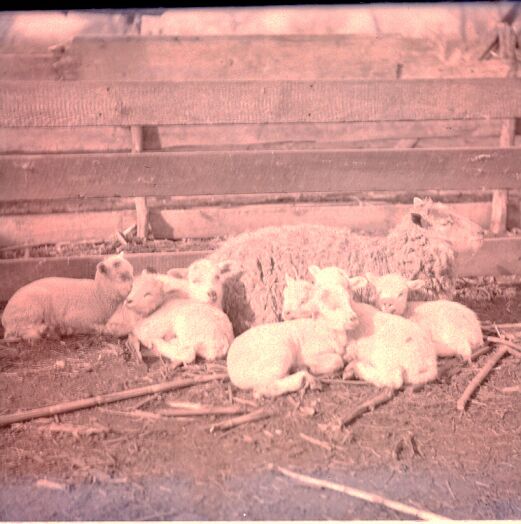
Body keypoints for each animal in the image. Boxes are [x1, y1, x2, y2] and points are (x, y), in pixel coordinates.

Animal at [1, 252, 134, 342]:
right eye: (121, 277)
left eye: (132, 272)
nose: (133, 289)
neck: (98, 295)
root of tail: (5, 318)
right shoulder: (76, 318)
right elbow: (98, 328)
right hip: (30, 310)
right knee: (23, 331)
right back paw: (46, 331)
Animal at [224, 266, 366, 398]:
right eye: (332, 307)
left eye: (349, 301)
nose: (354, 319)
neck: (326, 328)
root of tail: (232, 370)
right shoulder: (310, 352)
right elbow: (337, 360)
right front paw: (312, 367)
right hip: (278, 356)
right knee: (263, 388)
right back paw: (304, 378)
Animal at [282, 270, 436, 388]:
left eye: (344, 287)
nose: (286, 313)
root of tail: (429, 363)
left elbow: (336, 359)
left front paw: (306, 367)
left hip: (386, 355)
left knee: (393, 380)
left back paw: (355, 368)